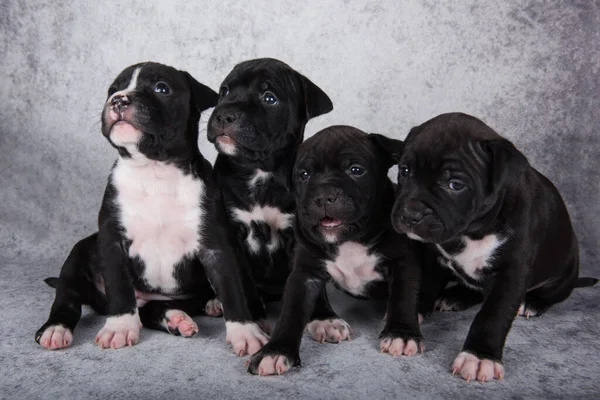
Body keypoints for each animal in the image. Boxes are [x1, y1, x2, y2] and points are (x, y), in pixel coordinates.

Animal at [33, 61, 268, 354]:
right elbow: (119, 287)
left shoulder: (216, 247)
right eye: (112, 89)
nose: (118, 99)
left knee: (152, 309)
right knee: (68, 300)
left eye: (161, 88)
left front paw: (245, 332)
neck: (155, 170)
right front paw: (120, 327)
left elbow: (232, 289)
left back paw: (179, 317)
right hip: (77, 259)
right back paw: (55, 328)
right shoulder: (112, 242)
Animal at [207, 57, 332, 318]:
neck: (260, 171)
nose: (224, 114)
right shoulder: (233, 234)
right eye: (224, 92)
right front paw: (252, 315)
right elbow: (241, 279)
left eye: (269, 98)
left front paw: (325, 317)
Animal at [244, 126, 422, 376]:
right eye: (304, 174)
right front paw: (275, 351)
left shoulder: (402, 262)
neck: (349, 239)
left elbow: (403, 297)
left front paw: (401, 334)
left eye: (356, 170)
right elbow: (291, 311)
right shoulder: (304, 274)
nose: (324, 196)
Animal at [390, 114, 596, 382]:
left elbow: (493, 314)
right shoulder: (428, 254)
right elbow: (420, 286)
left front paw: (478, 357)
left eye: (454, 185)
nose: (410, 214)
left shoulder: (511, 274)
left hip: (566, 269)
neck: (472, 232)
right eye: (404, 171)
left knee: (551, 292)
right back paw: (456, 296)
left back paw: (533, 302)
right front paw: (410, 321)